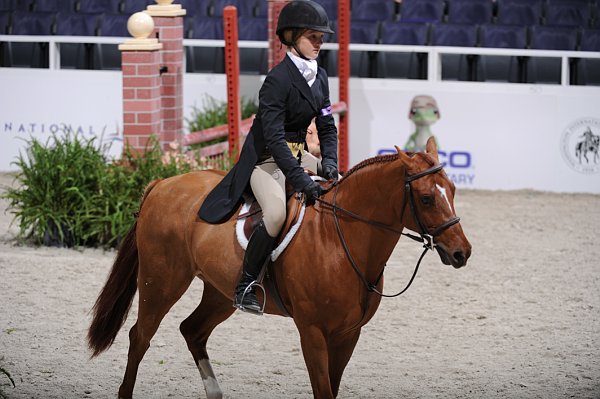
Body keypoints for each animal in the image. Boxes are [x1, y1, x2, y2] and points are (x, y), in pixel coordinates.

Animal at [86, 136, 472, 398]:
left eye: (453, 190)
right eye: (426, 198)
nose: (461, 253)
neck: (341, 239)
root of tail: (161, 184)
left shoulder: (348, 334)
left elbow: (333, 388)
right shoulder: (312, 332)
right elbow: (323, 391)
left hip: (220, 294)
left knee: (192, 330)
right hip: (161, 281)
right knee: (140, 336)